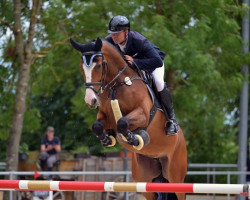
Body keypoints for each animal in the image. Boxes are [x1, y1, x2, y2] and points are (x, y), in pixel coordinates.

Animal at [69, 37, 187, 200]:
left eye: (98, 66)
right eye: (82, 67)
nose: (90, 100)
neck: (118, 84)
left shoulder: (142, 114)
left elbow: (122, 122)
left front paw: (134, 138)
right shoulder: (105, 117)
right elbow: (97, 126)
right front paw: (107, 139)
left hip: (176, 177)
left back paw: (171, 126)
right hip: (145, 180)